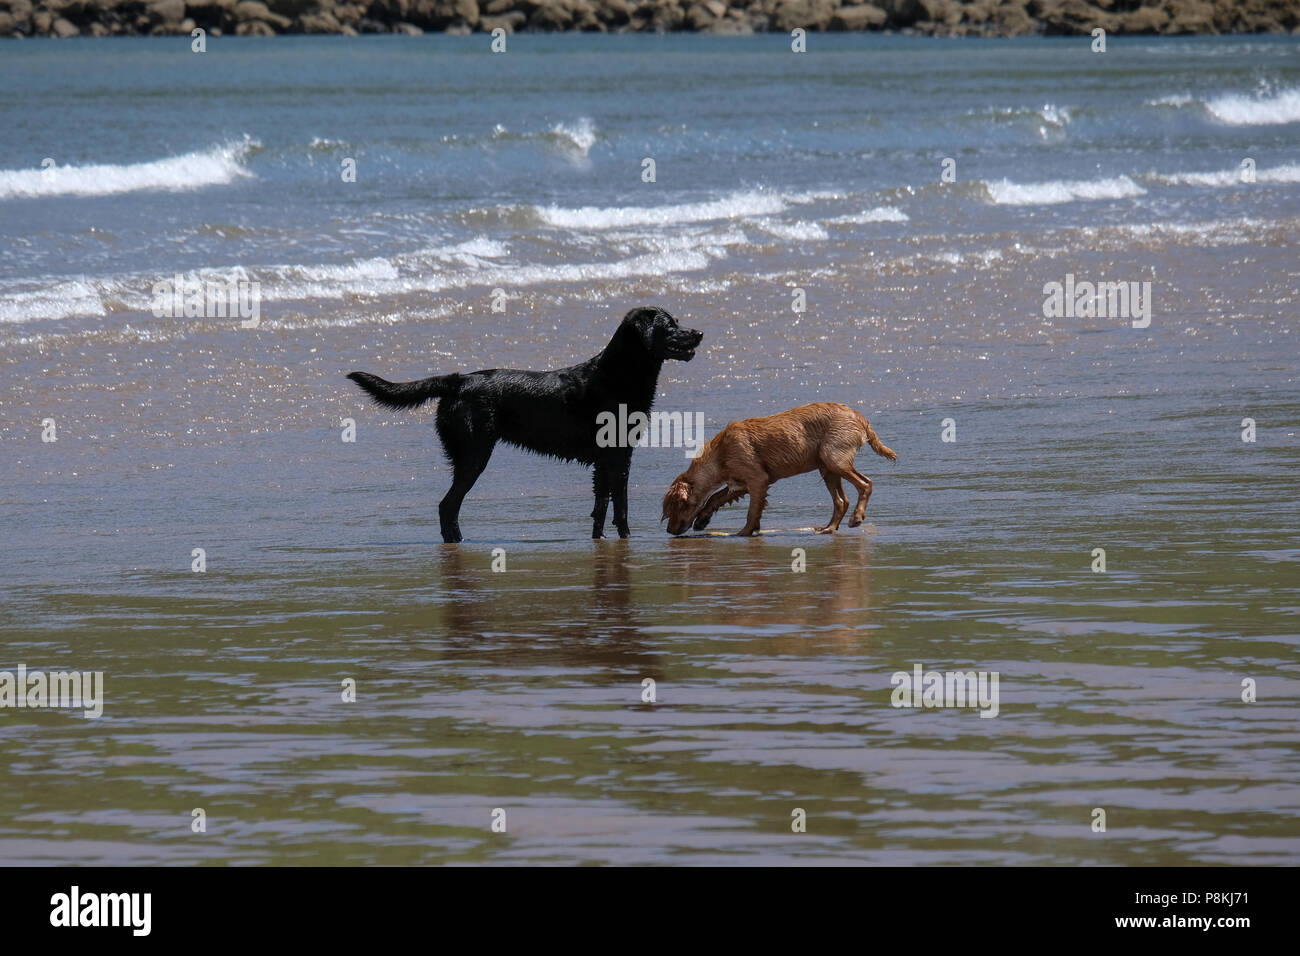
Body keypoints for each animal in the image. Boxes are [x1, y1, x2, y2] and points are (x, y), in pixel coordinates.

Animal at [348, 308, 702, 541]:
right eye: (670, 325)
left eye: (679, 322)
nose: (699, 333)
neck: (618, 374)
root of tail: (458, 380)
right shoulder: (617, 456)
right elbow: (620, 506)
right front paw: (625, 538)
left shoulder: (608, 460)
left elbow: (603, 508)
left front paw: (603, 542)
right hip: (474, 455)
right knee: (447, 506)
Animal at [660, 403, 894, 538]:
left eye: (674, 510)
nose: (669, 530)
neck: (720, 454)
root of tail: (859, 415)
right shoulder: (741, 483)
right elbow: (714, 498)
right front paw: (702, 519)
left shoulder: (758, 479)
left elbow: (752, 511)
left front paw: (745, 532)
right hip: (827, 468)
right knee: (841, 501)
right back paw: (828, 528)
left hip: (834, 459)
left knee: (865, 484)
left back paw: (856, 518)